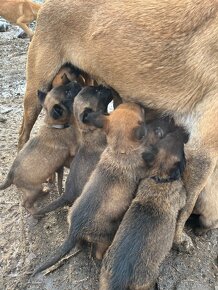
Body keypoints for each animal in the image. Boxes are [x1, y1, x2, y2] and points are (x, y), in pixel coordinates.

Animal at [0, 81, 81, 215]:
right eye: (68, 93)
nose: (75, 82)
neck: (54, 124)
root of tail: (10, 176)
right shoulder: (74, 145)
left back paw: (44, 192)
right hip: (34, 189)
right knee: (25, 203)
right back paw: (37, 213)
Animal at [32, 103, 184, 276]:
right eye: (141, 115)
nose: (138, 103)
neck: (120, 150)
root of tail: (75, 229)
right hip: (106, 235)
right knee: (96, 253)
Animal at [99, 127, 188, 290]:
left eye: (166, 136)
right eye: (183, 151)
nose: (181, 132)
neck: (159, 177)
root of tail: (120, 274)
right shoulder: (181, 195)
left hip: (104, 276)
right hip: (148, 278)